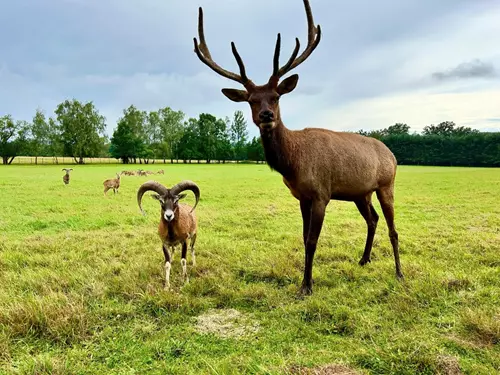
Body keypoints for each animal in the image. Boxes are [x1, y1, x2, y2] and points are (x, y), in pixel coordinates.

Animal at [193, 0, 404, 296]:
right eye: (251, 100)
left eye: (276, 97)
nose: (267, 115)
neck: (294, 164)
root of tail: (391, 154)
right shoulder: (302, 197)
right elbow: (304, 239)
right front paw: (305, 281)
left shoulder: (321, 193)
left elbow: (313, 241)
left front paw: (307, 286)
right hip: (361, 192)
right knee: (372, 219)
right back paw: (364, 259)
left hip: (386, 183)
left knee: (393, 228)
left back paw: (399, 273)